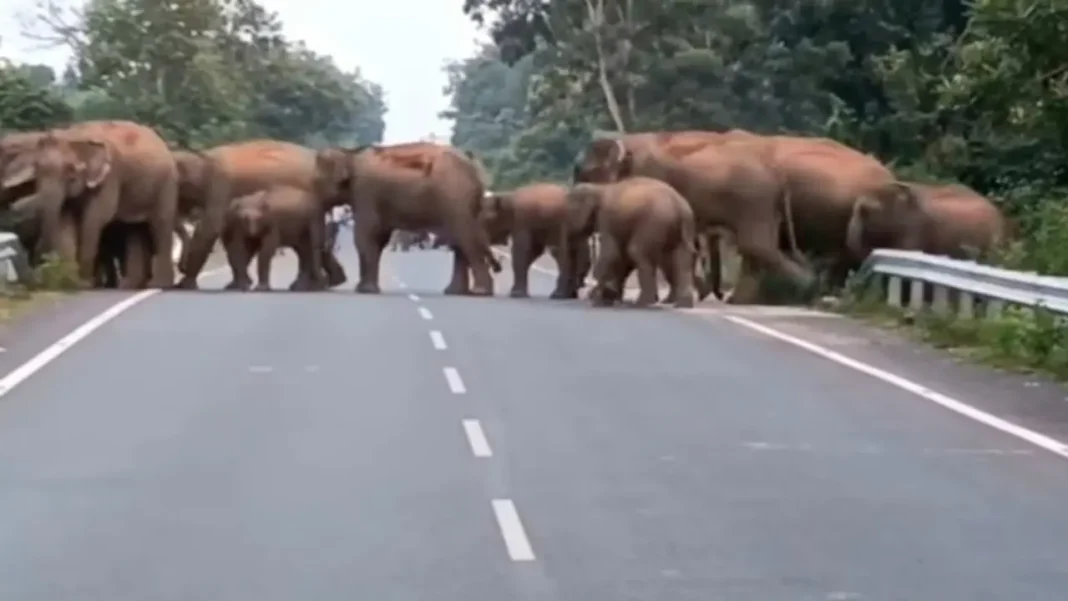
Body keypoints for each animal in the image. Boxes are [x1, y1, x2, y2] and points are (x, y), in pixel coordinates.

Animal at [0, 120, 179, 289]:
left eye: (71, 173)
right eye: (37, 171)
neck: (73, 136)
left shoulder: (109, 177)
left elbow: (93, 220)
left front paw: (84, 283)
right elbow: (64, 221)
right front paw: (72, 282)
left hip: (166, 185)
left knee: (160, 225)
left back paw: (159, 285)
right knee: (134, 229)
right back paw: (129, 285)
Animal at [173, 140, 346, 289]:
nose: (181, 267)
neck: (202, 157)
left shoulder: (220, 188)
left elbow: (210, 230)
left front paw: (184, 286)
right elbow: (229, 236)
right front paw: (238, 284)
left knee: (308, 243)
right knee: (310, 243)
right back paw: (333, 282)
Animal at [313, 142, 495, 296]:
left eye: (314, 181)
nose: (332, 282)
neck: (350, 154)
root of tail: (474, 167)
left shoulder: (365, 192)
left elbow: (365, 235)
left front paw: (365, 290)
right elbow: (380, 238)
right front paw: (365, 288)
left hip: (456, 196)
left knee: (465, 238)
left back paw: (480, 292)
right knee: (460, 241)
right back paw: (455, 292)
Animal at [562, 177, 699, 308]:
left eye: (570, 211)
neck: (599, 188)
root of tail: (680, 206)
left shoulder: (606, 217)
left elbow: (612, 253)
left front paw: (600, 298)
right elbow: (622, 258)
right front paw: (609, 296)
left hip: (654, 223)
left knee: (637, 251)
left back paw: (642, 303)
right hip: (680, 229)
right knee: (681, 260)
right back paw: (682, 304)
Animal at [574, 137, 815, 304]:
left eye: (584, 173)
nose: (712, 293)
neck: (626, 142)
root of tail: (779, 176)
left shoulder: (650, 174)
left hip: (755, 202)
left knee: (756, 246)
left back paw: (811, 291)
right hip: (763, 207)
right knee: (755, 249)